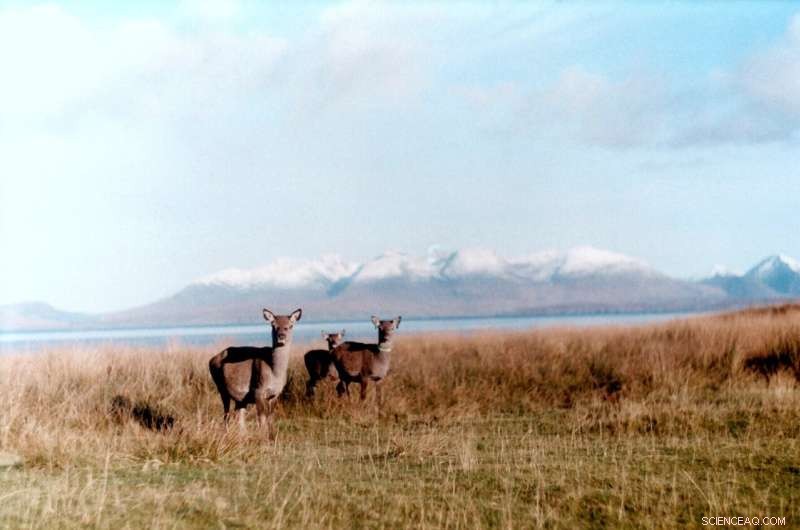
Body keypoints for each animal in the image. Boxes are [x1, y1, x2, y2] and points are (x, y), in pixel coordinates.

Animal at [208, 308, 302, 437]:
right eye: (273, 325)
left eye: (290, 325)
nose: (281, 336)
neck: (275, 374)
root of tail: (211, 360)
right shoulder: (258, 390)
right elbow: (262, 418)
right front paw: (263, 437)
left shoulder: (276, 394)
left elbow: (270, 418)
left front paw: (272, 437)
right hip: (221, 389)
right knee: (226, 415)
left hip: (240, 398)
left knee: (239, 416)